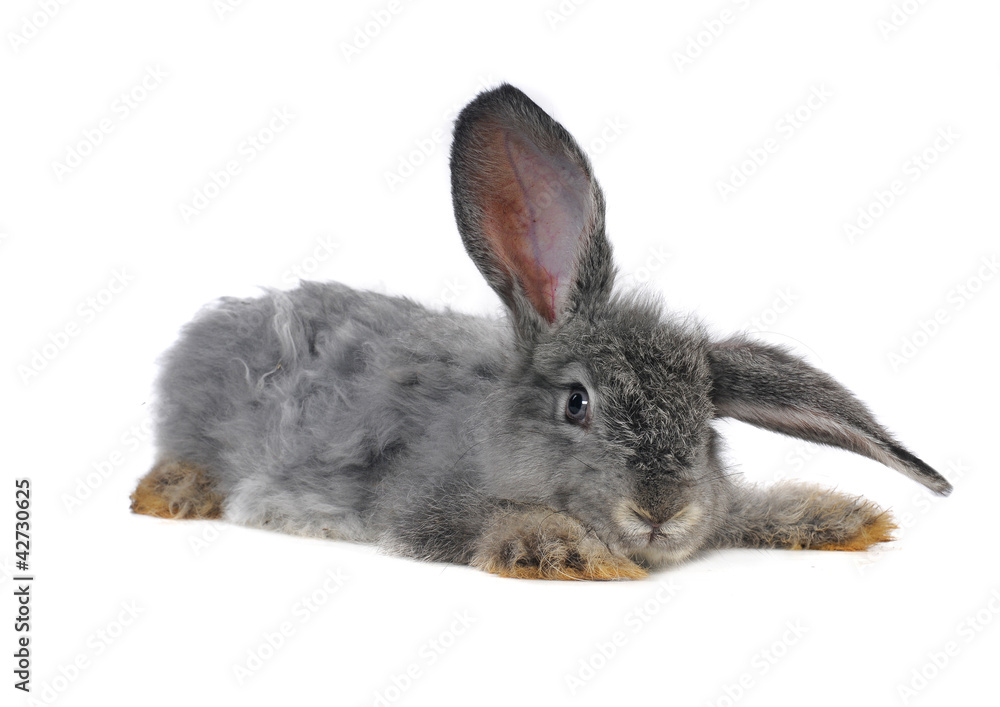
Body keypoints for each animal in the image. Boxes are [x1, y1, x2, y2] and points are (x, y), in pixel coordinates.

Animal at [131, 83, 951, 580]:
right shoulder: (426, 507)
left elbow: (745, 508)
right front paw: (576, 551)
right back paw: (169, 494)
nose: (661, 510)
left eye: (707, 428)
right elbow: (504, 522)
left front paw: (841, 517)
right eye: (576, 404)